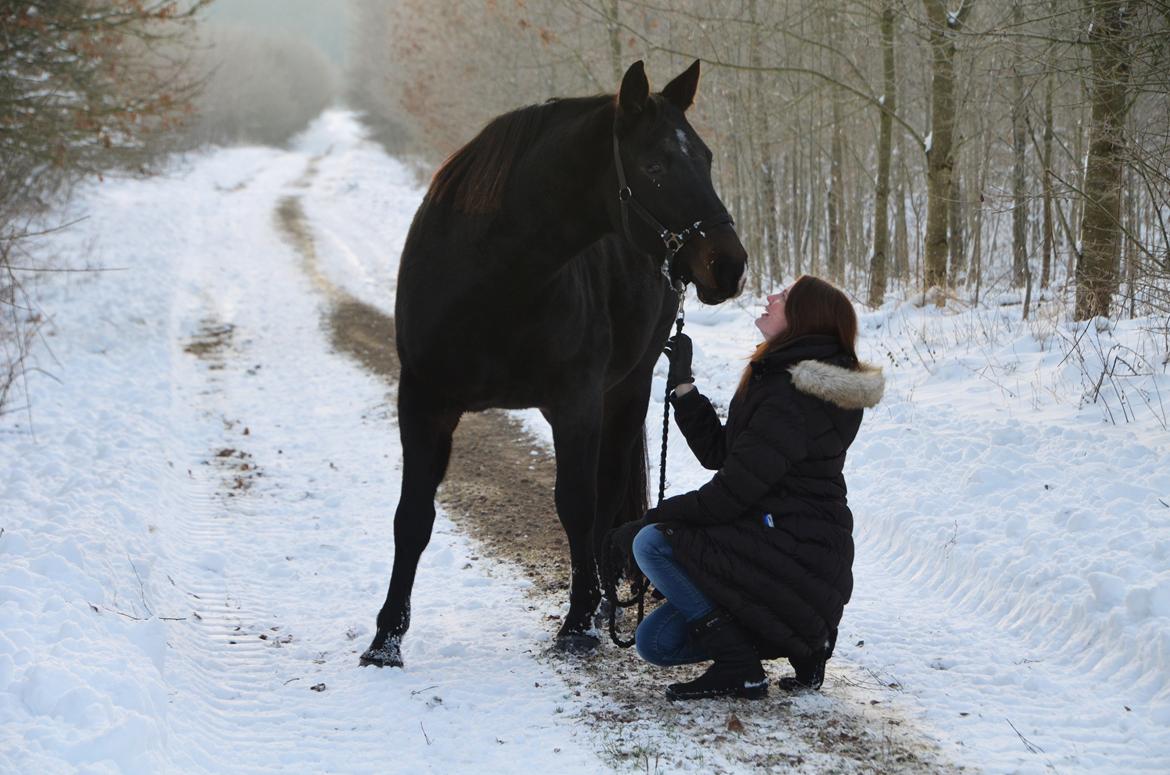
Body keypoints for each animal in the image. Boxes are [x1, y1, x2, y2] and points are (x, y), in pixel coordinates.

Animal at [362, 60, 748, 669]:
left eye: (706, 157)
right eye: (655, 164)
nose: (729, 265)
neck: (489, 282)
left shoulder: (576, 404)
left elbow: (578, 505)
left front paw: (578, 623)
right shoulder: (422, 403)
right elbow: (413, 517)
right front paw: (385, 641)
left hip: (629, 387)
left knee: (608, 490)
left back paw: (606, 597)